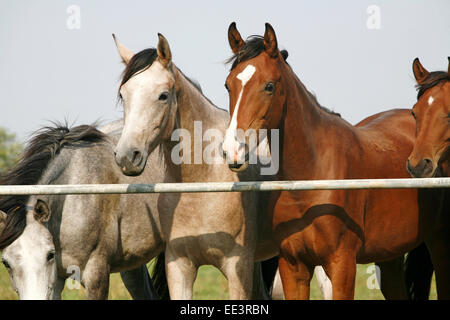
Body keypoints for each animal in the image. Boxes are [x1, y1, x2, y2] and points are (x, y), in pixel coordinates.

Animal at [222, 23, 450, 300]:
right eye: (228, 85)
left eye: (269, 86)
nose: (233, 149)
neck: (310, 179)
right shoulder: (292, 267)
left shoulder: (342, 266)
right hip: (390, 258)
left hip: (439, 244)